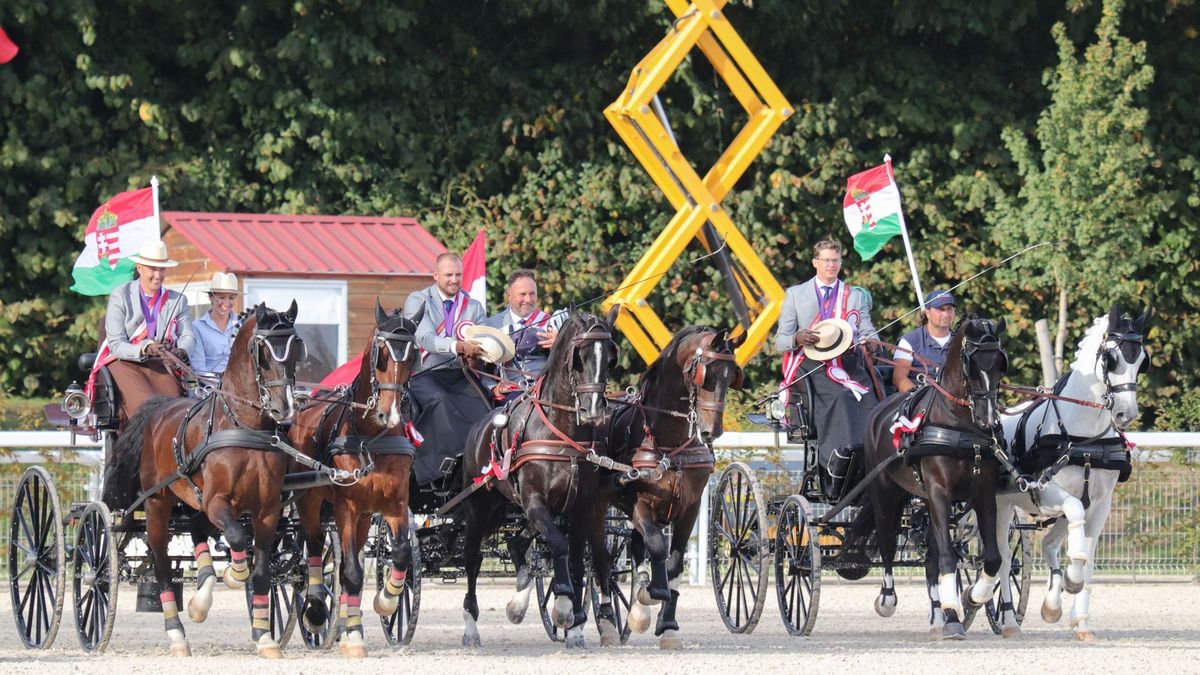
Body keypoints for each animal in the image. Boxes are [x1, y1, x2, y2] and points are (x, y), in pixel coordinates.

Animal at [102, 302, 304, 653]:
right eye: (262, 351)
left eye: (295, 350)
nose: (284, 409)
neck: (245, 427)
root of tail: (159, 409)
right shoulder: (218, 501)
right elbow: (236, 537)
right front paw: (235, 575)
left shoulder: (267, 511)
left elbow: (263, 572)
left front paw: (264, 637)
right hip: (158, 505)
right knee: (161, 563)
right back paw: (176, 634)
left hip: (194, 501)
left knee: (196, 532)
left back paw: (201, 597)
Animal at [288, 300, 424, 658]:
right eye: (381, 353)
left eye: (413, 356)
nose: (390, 414)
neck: (369, 437)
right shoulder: (345, 508)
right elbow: (349, 570)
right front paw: (351, 633)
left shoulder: (395, 504)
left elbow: (399, 554)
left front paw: (386, 600)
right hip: (311, 503)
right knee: (313, 551)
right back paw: (317, 610)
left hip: (363, 516)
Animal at [451, 309, 619, 648]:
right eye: (579, 357)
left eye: (610, 358)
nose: (593, 411)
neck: (563, 433)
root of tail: (479, 426)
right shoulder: (535, 501)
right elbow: (559, 545)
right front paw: (565, 606)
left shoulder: (581, 508)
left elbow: (577, 561)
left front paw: (576, 626)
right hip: (479, 510)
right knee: (473, 559)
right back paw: (471, 626)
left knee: (517, 543)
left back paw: (519, 600)